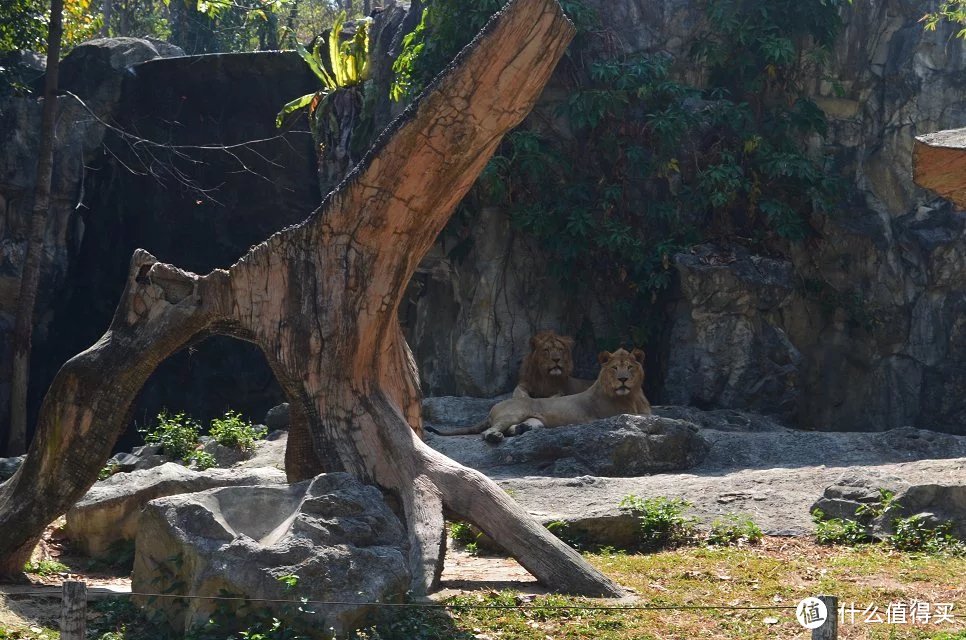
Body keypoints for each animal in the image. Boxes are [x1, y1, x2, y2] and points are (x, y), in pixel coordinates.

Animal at [430, 348, 652, 442]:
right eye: (614, 368)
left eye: (630, 367)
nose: (623, 379)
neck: (633, 395)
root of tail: (493, 407)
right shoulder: (613, 414)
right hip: (514, 412)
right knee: (488, 432)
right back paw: (495, 436)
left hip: (537, 421)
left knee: (517, 428)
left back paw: (522, 429)